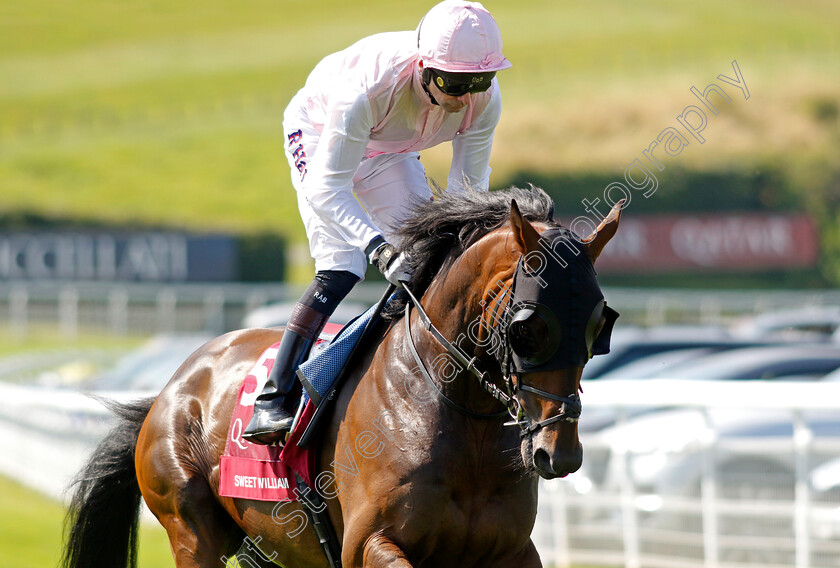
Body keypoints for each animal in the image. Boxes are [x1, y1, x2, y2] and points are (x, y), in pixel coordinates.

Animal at [62, 187, 620, 568]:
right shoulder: (368, 545)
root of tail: (172, 387)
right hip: (192, 528)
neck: (460, 417)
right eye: (529, 328)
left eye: (599, 325)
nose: (559, 454)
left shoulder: (510, 550)